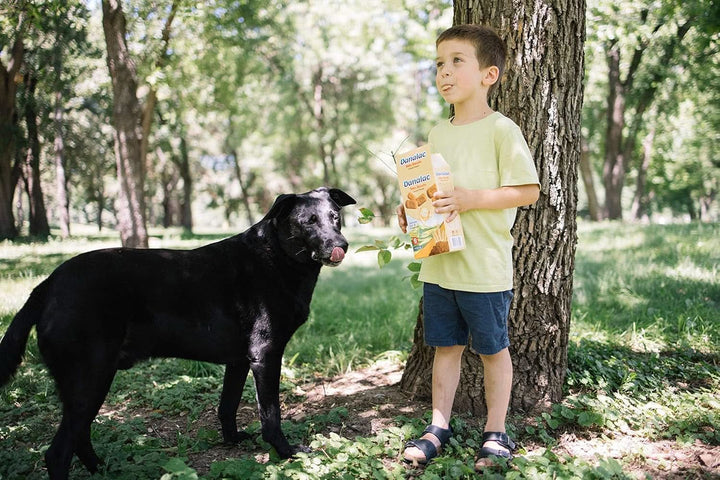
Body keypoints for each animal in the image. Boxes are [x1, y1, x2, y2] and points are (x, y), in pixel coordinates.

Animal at [0, 186, 354, 478]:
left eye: (335, 218)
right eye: (308, 221)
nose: (342, 245)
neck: (276, 256)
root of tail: (47, 286)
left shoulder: (239, 361)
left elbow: (227, 406)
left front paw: (233, 440)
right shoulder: (265, 356)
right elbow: (271, 415)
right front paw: (285, 452)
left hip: (87, 383)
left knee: (80, 437)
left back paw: (101, 470)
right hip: (89, 378)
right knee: (58, 453)